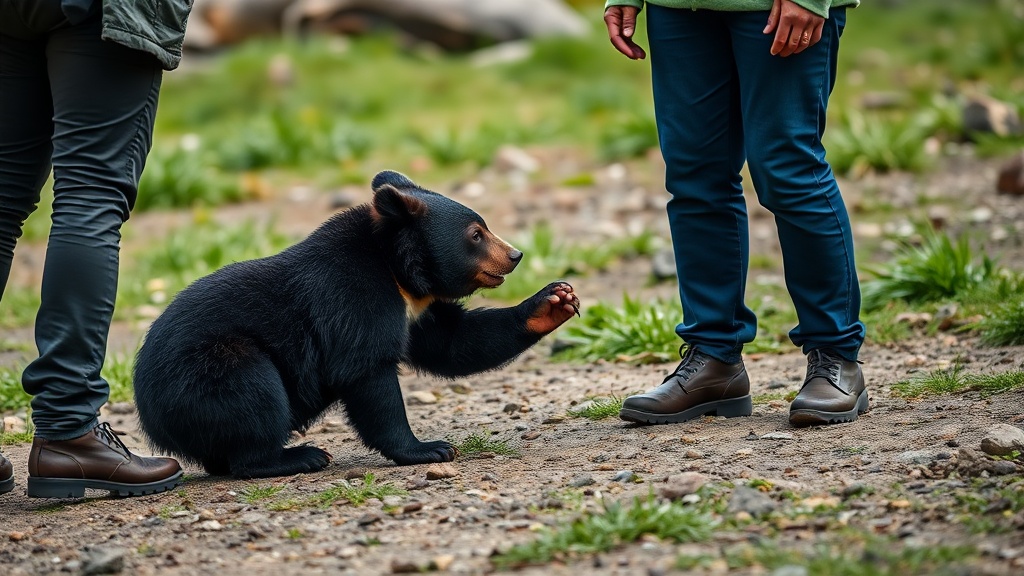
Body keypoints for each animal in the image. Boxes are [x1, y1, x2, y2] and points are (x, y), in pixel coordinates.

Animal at [131, 170, 580, 479]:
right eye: (476, 234)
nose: (515, 255)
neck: (398, 270)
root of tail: (150, 416)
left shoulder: (416, 311)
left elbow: (454, 343)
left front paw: (556, 300)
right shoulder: (353, 297)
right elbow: (368, 374)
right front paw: (430, 449)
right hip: (211, 370)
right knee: (253, 397)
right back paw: (300, 456)